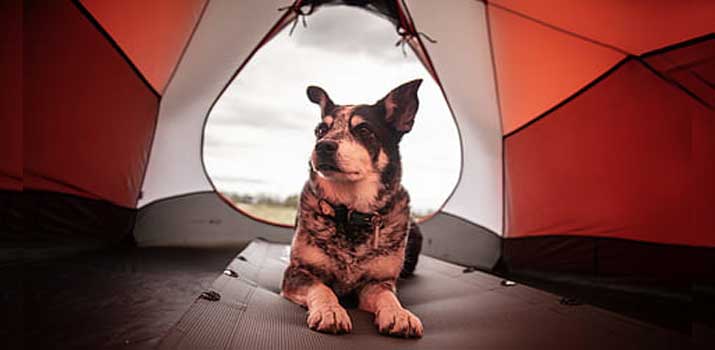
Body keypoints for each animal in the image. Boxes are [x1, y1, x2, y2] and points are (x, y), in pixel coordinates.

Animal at [282, 80, 426, 340]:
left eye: (364, 130)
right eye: (320, 130)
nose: (323, 146)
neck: (350, 213)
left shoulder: (377, 283)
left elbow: (387, 296)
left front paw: (399, 314)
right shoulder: (297, 272)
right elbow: (321, 288)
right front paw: (330, 311)